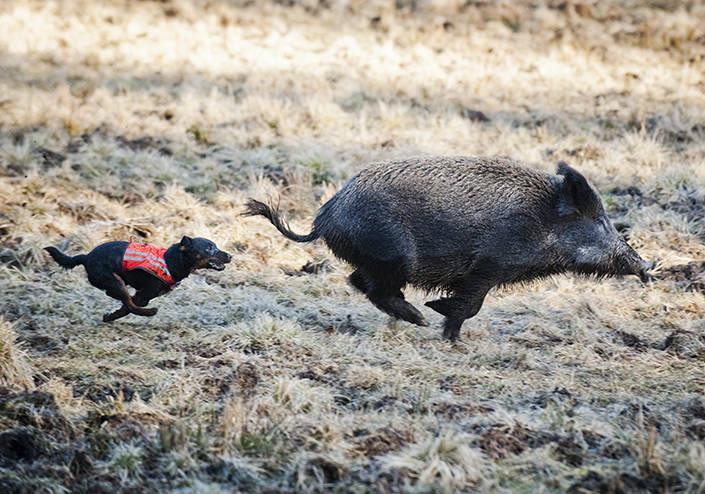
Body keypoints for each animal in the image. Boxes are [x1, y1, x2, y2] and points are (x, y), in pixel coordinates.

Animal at [44, 236, 231, 322]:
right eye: (209, 248)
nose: (230, 256)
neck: (171, 261)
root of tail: (86, 256)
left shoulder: (142, 294)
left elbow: (126, 305)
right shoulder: (144, 294)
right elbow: (128, 307)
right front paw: (111, 316)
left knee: (119, 298)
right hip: (115, 281)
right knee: (127, 301)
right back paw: (149, 312)